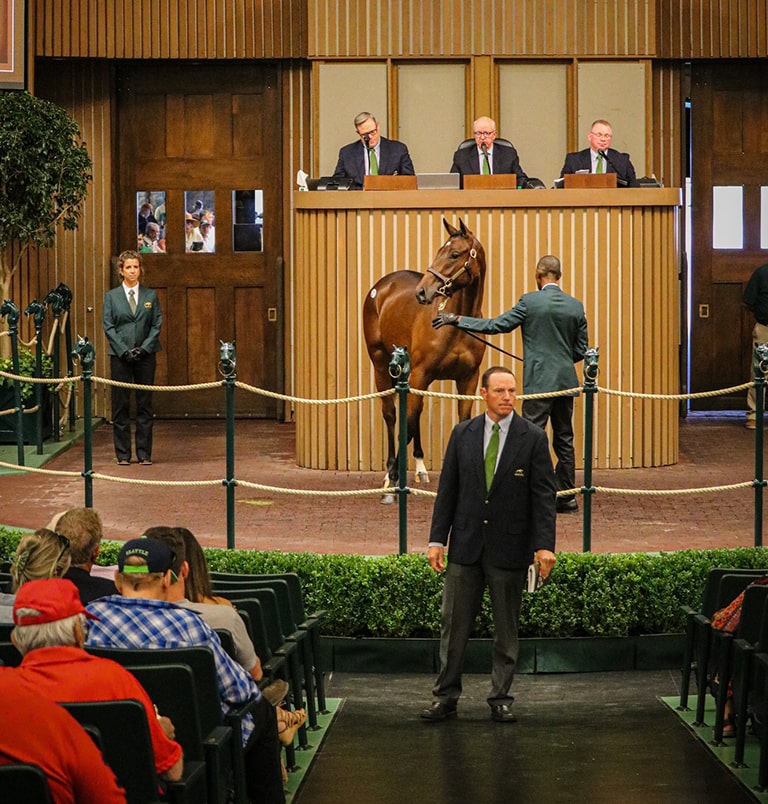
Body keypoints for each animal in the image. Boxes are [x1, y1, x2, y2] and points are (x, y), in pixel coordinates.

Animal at [364, 218, 486, 496]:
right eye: (440, 250)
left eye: (454, 254)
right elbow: (405, 426)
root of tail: (381, 287)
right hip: (381, 363)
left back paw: (419, 468)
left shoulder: (468, 379)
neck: (455, 323)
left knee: (413, 414)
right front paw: (394, 477)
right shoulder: (421, 374)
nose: (422, 292)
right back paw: (389, 473)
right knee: (391, 414)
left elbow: (462, 421)